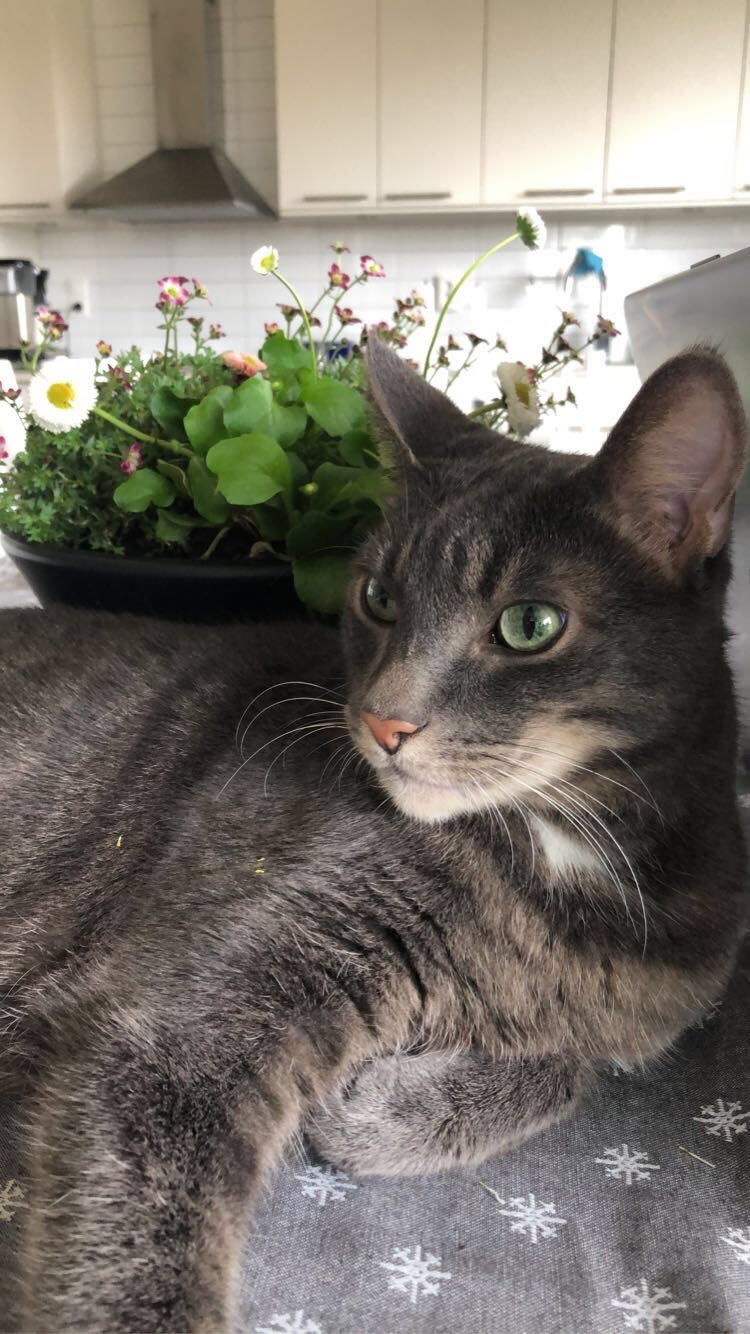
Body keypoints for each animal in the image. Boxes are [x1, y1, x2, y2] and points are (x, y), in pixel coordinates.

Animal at [0, 338, 741, 1328]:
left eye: (530, 624)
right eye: (380, 598)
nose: (385, 721)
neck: (566, 853)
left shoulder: (634, 1009)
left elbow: (574, 1064)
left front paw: (379, 1104)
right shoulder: (167, 1025)